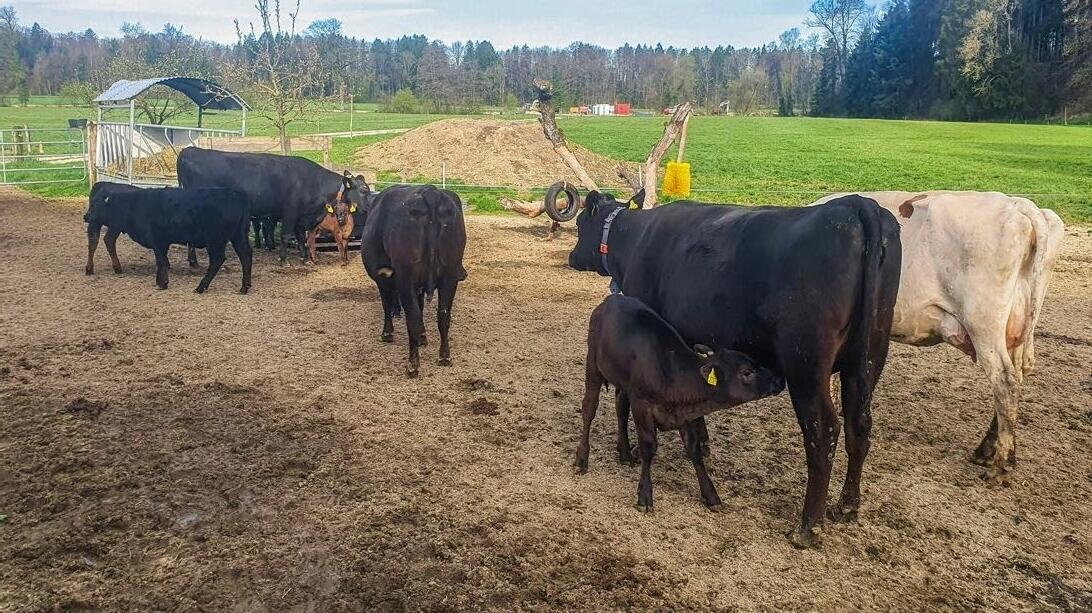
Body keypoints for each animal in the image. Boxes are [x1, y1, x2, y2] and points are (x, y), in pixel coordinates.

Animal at [83, 185, 253, 294]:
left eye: (97, 204)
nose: (86, 216)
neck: (136, 205)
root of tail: (236, 195)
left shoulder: (158, 241)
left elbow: (160, 261)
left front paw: (162, 283)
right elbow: (162, 261)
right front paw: (160, 281)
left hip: (215, 239)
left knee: (218, 259)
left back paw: (201, 287)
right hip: (238, 236)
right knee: (245, 256)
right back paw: (244, 286)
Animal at [176, 148, 371, 264]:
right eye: (363, 190)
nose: (371, 205)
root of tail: (189, 150)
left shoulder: (300, 215)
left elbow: (300, 237)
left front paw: (304, 258)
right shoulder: (290, 211)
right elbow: (286, 235)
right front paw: (283, 259)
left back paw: (193, 261)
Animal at [361, 185, 467, 378]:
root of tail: (430, 192)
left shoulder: (382, 278)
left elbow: (386, 304)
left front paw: (387, 333)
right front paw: (423, 337)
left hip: (406, 277)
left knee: (413, 315)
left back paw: (413, 365)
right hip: (450, 276)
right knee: (443, 315)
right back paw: (444, 356)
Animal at [576, 294, 785, 512]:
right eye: (746, 372)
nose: (779, 379)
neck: (671, 371)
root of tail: (612, 298)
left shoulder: (686, 412)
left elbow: (694, 449)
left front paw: (711, 495)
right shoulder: (642, 403)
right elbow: (648, 447)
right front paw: (644, 496)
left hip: (623, 382)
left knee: (620, 407)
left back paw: (624, 453)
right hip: (593, 364)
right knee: (589, 408)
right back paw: (581, 459)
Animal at [810, 191, 1065, 481]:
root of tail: (1019, 205)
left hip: (984, 323)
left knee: (1005, 381)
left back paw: (1002, 463)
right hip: (1015, 330)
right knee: (1014, 382)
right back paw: (987, 450)